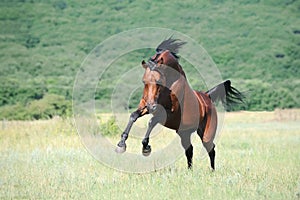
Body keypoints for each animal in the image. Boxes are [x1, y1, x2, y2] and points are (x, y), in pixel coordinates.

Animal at [115, 38, 244, 170]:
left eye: (159, 81)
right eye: (144, 81)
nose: (151, 106)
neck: (170, 85)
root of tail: (207, 96)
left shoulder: (167, 113)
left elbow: (151, 121)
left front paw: (146, 148)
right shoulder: (146, 106)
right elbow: (133, 116)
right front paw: (121, 144)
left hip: (206, 134)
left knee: (210, 149)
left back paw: (212, 171)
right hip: (184, 133)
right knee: (190, 150)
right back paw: (190, 170)